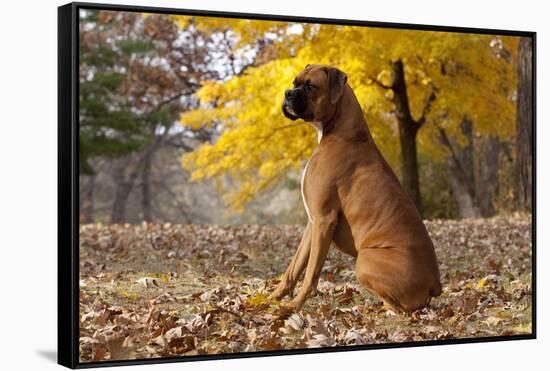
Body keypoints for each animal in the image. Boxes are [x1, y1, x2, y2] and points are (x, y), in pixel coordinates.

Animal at [272, 64, 444, 314]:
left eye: (311, 86)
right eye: (295, 83)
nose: (287, 93)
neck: (339, 130)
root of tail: (435, 283)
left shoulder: (324, 219)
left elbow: (311, 273)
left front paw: (294, 306)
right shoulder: (313, 222)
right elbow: (293, 268)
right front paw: (270, 299)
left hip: (364, 260)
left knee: (401, 308)